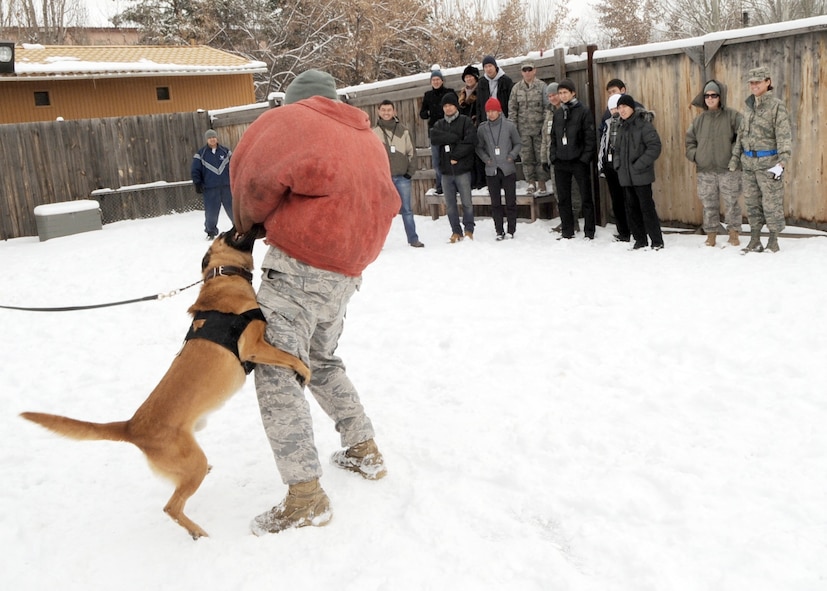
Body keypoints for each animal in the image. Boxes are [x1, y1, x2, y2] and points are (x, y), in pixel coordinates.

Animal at [20, 230, 310, 540]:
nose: (247, 225)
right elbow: (289, 357)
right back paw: (199, 533)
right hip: (193, 464)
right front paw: (304, 370)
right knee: (171, 507)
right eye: (227, 234)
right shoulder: (254, 347)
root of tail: (131, 427)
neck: (222, 276)